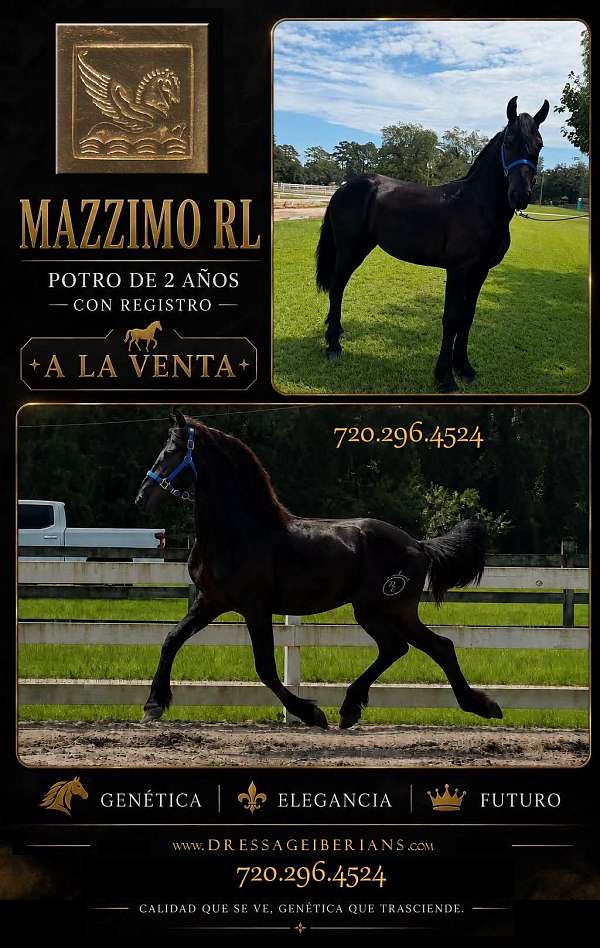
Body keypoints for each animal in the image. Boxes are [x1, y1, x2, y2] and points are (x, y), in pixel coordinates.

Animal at [135, 409, 502, 730]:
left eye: (172, 451)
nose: (142, 498)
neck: (240, 532)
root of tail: (418, 545)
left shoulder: (255, 607)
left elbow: (265, 667)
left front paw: (310, 713)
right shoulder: (210, 602)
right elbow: (171, 639)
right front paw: (154, 705)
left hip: (386, 608)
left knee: (432, 646)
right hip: (378, 611)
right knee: (407, 647)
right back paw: (357, 708)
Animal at [316, 96, 549, 392]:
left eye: (539, 144)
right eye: (509, 141)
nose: (520, 195)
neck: (477, 205)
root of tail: (344, 186)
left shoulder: (480, 272)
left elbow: (468, 317)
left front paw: (464, 368)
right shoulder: (458, 270)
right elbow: (451, 319)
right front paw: (445, 377)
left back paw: (336, 336)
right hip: (349, 250)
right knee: (337, 288)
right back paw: (333, 345)